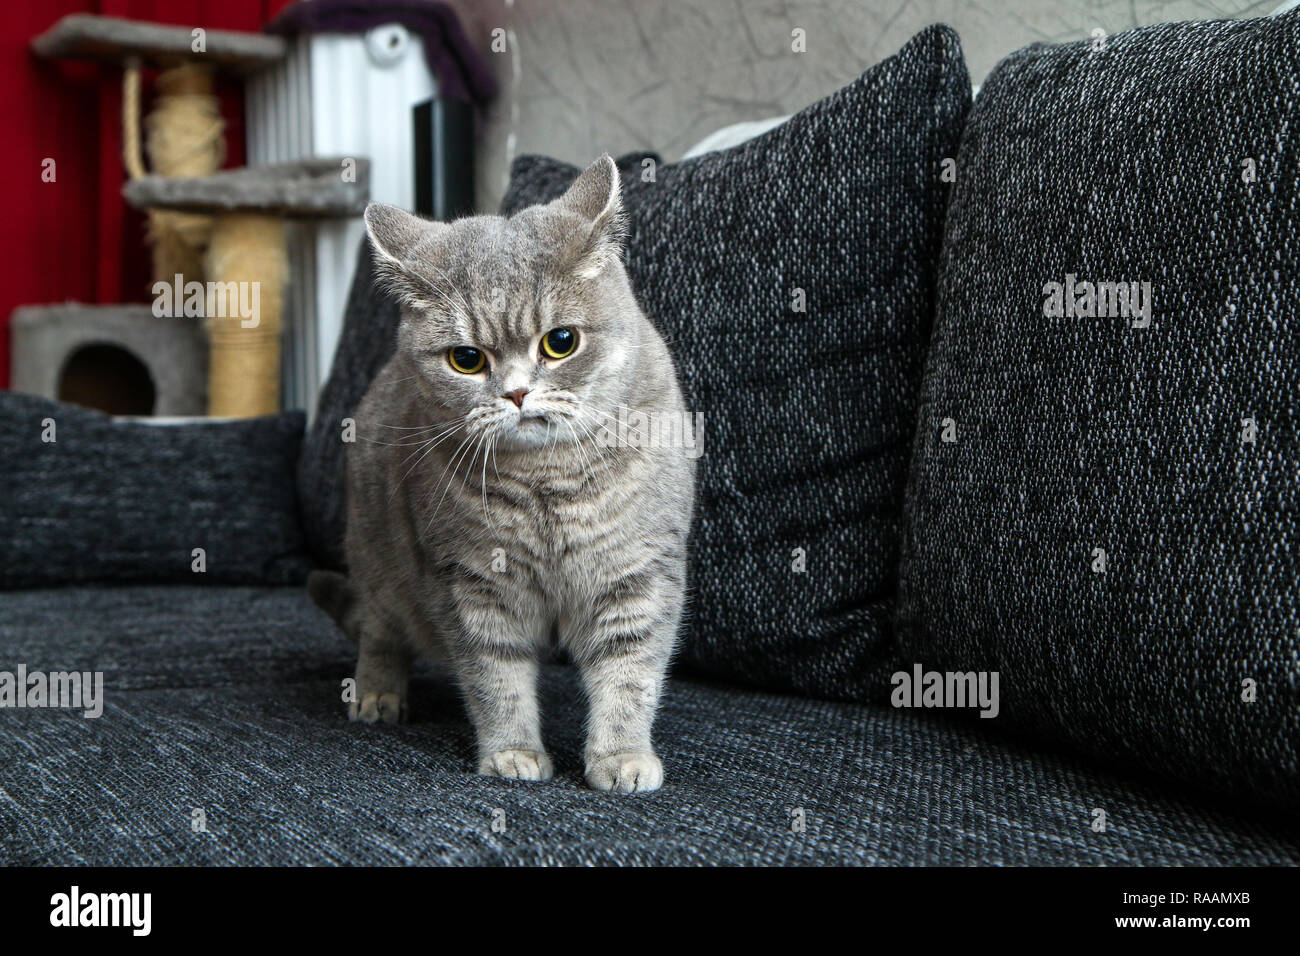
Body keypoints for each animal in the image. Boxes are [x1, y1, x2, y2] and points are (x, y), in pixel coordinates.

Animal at [315, 157, 696, 796]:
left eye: (560, 342)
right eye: (466, 359)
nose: (517, 393)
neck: (547, 482)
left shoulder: (637, 574)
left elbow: (629, 675)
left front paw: (621, 757)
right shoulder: (470, 584)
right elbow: (497, 680)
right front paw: (513, 754)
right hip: (377, 560)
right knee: (379, 630)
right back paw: (377, 694)